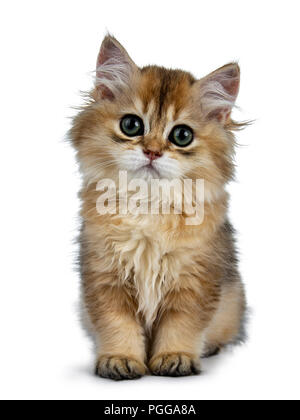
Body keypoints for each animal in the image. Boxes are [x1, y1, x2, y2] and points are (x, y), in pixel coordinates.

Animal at [69, 35, 246, 380]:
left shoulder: (195, 280)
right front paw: (120, 359)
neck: (148, 205)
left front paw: (175, 357)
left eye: (181, 135)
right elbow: (117, 326)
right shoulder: (105, 278)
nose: (152, 151)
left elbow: (181, 326)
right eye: (131, 125)